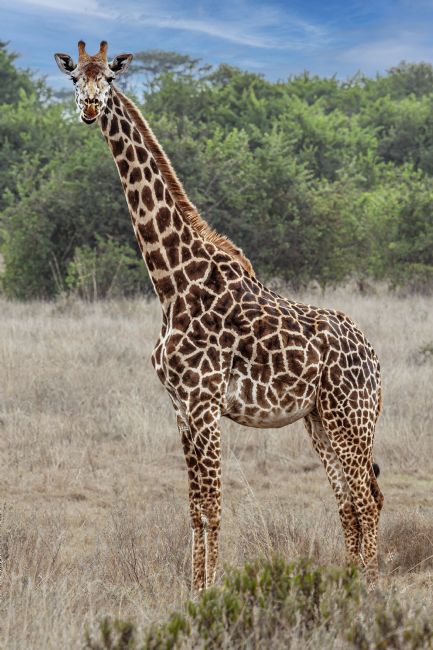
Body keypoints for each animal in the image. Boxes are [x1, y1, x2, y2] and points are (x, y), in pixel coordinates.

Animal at [55, 41, 384, 591]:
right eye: (75, 78)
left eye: (110, 79)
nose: (90, 108)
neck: (172, 283)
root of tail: (376, 359)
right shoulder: (180, 407)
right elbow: (194, 507)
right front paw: (193, 590)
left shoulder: (204, 402)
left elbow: (212, 506)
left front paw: (209, 592)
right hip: (319, 421)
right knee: (349, 503)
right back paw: (346, 582)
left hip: (350, 419)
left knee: (367, 500)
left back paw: (370, 589)